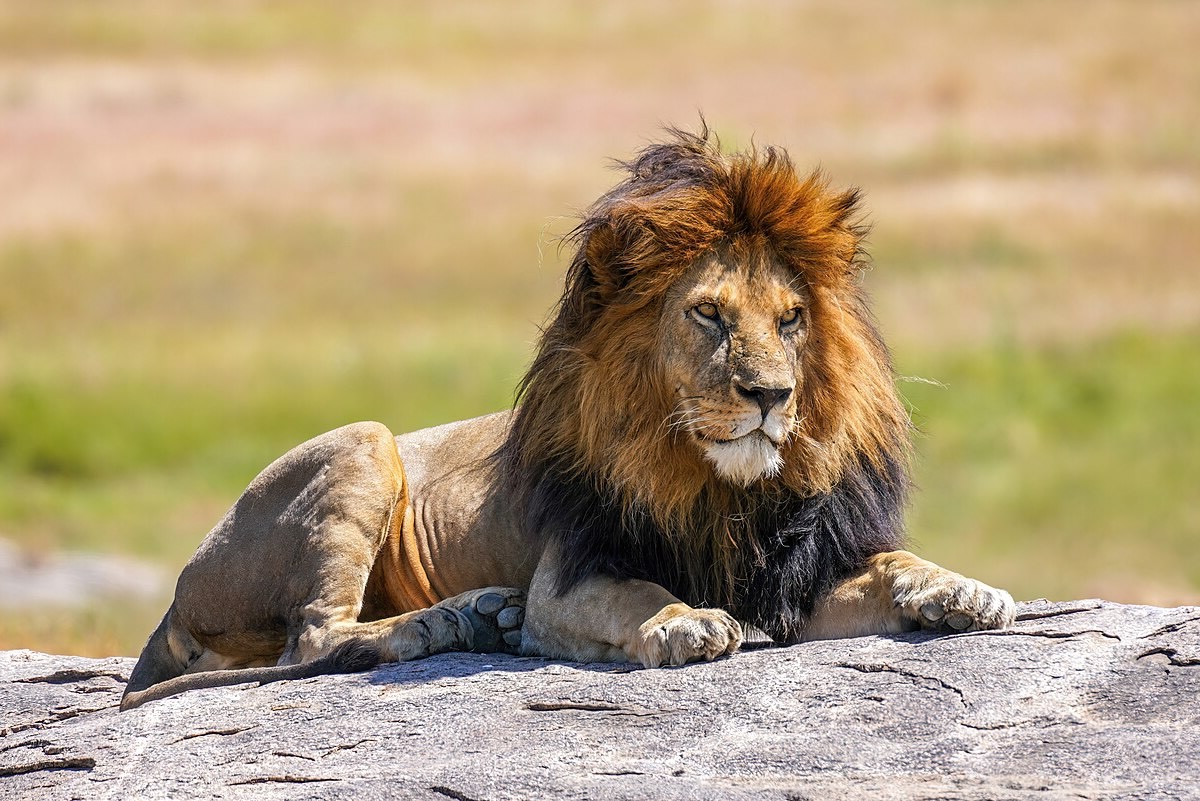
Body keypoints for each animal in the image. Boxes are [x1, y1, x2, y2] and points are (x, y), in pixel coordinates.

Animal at [120, 127, 1015, 711]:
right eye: (709, 315)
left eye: (792, 319)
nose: (770, 395)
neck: (716, 487)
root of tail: (175, 595)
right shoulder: (569, 576)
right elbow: (638, 594)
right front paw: (683, 621)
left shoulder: (795, 579)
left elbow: (895, 562)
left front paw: (962, 589)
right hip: (364, 445)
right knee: (315, 637)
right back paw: (457, 619)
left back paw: (479, 616)